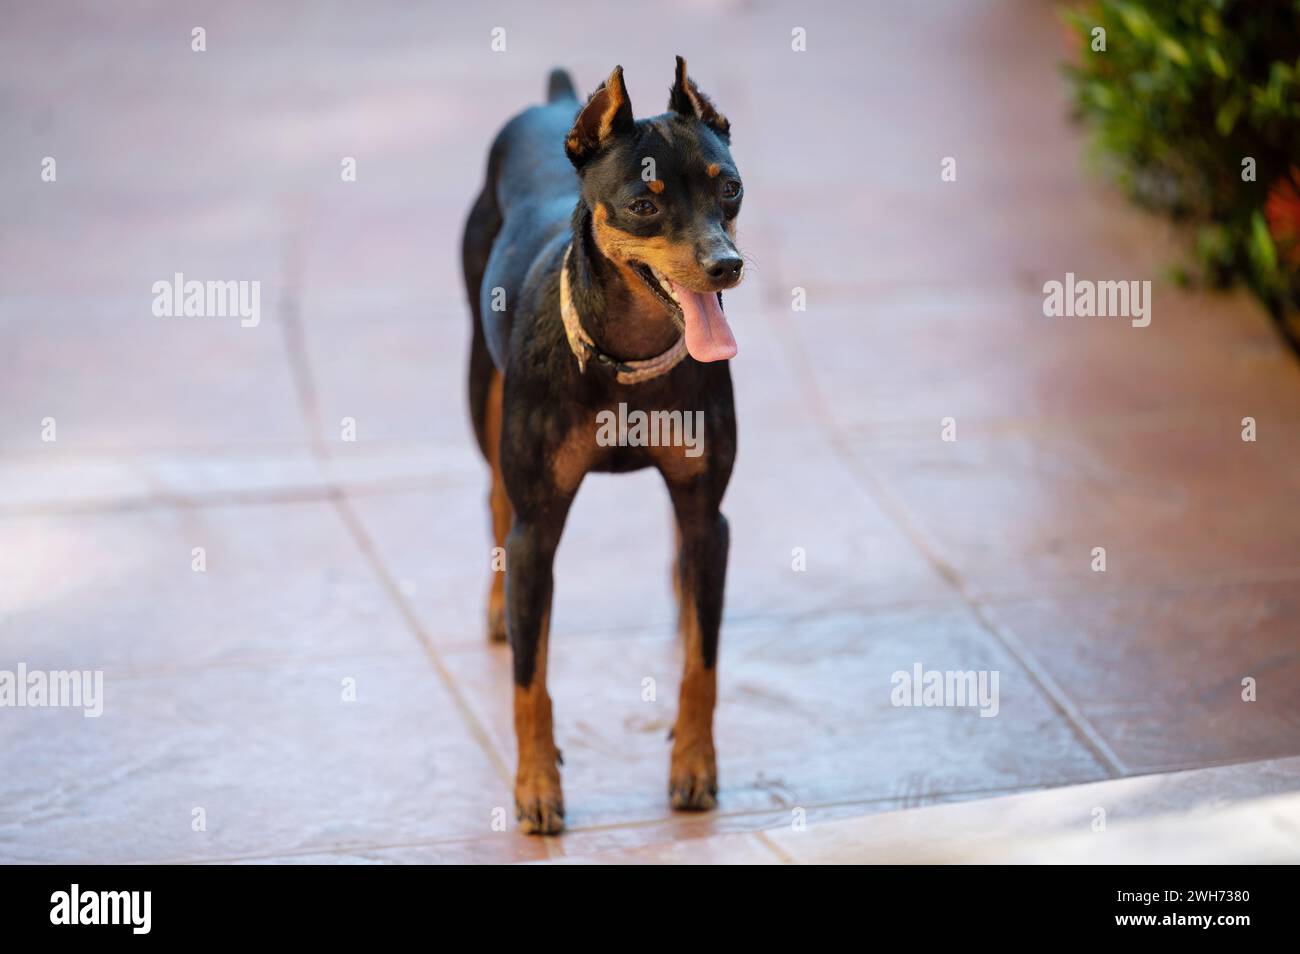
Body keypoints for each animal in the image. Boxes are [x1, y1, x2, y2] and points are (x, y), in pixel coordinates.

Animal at [460, 57, 743, 837]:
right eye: (644, 205)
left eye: (730, 188)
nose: (727, 264)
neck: (628, 359)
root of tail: (554, 99)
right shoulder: (538, 531)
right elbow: (530, 680)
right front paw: (535, 786)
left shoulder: (709, 511)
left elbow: (703, 663)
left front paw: (694, 766)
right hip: (480, 384)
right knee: (492, 494)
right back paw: (496, 602)